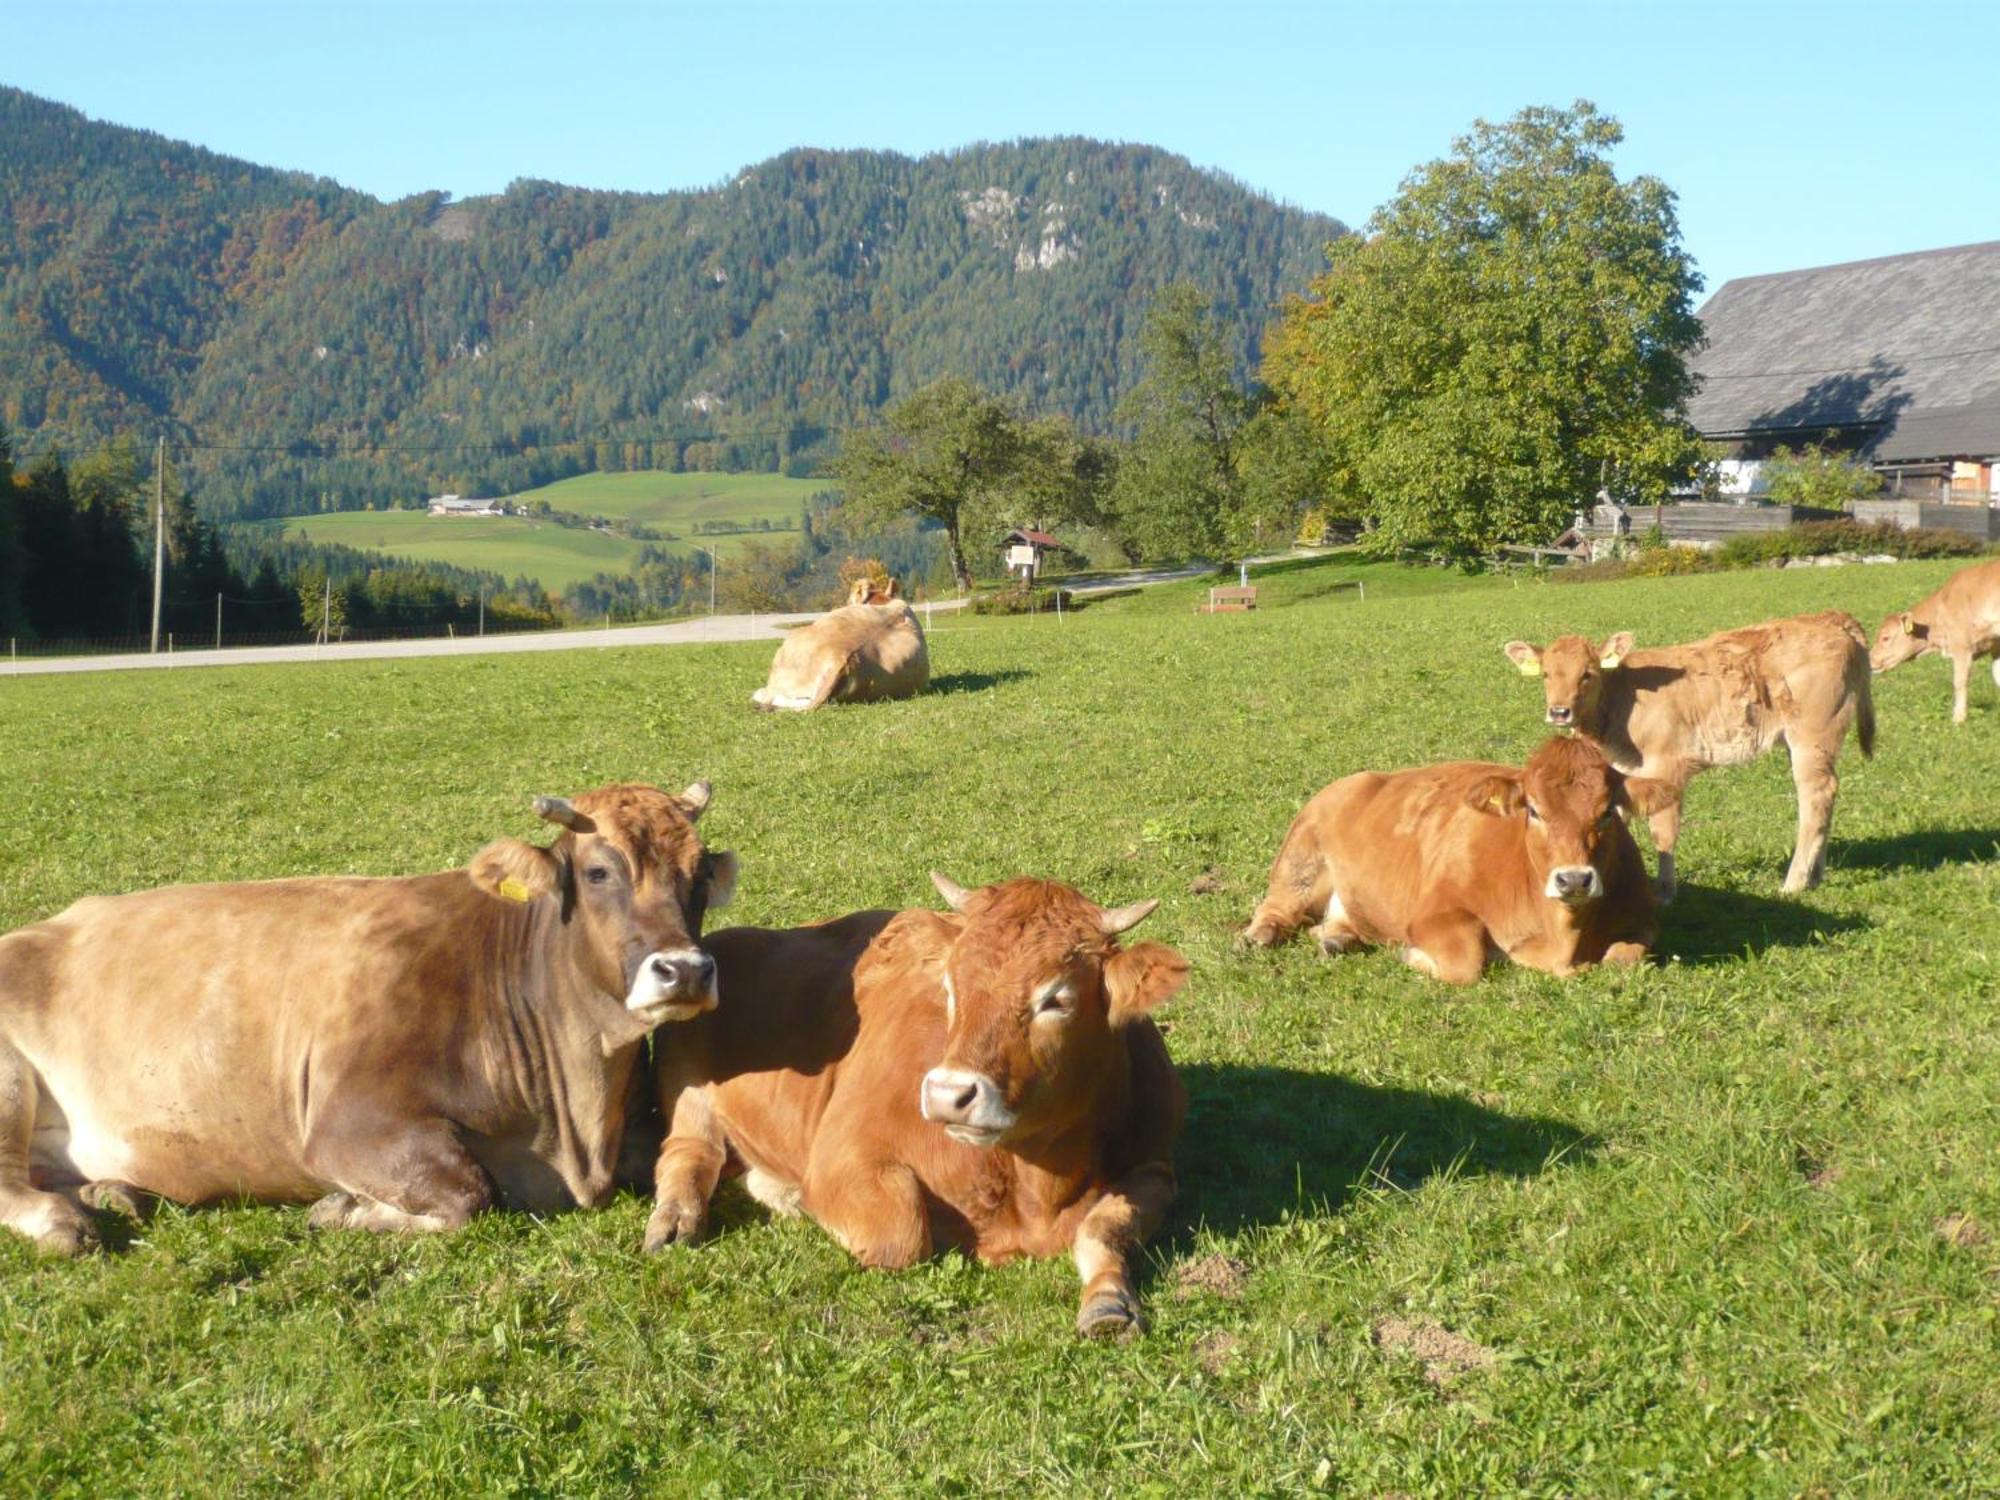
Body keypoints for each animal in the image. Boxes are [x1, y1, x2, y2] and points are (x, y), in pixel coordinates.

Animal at [0, 780, 736, 1264]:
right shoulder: (346, 1125)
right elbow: (469, 1194)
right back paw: (64, 1221)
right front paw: (344, 1209)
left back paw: (110, 1194)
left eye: (700, 877)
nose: (685, 970)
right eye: (598, 870)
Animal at [648, 876, 1184, 1344]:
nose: (949, 1094)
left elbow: (1101, 1228)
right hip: (684, 1079)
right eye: (949, 987)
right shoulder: (843, 1153)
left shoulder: (1156, 1168)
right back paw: (678, 1219)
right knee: (688, 1153)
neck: (1035, 1186)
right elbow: (900, 1235)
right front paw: (803, 1200)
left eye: (1056, 998)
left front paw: (1109, 1302)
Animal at [1240, 736, 1664, 988]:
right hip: (1300, 859)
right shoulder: (1435, 915)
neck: (1562, 937)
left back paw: (1337, 940)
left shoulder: (1642, 921)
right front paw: (1411, 954)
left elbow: (1622, 960)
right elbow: (1466, 964)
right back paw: (1259, 936)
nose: (1574, 880)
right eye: (1533, 810)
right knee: (1276, 908)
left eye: (1607, 812)